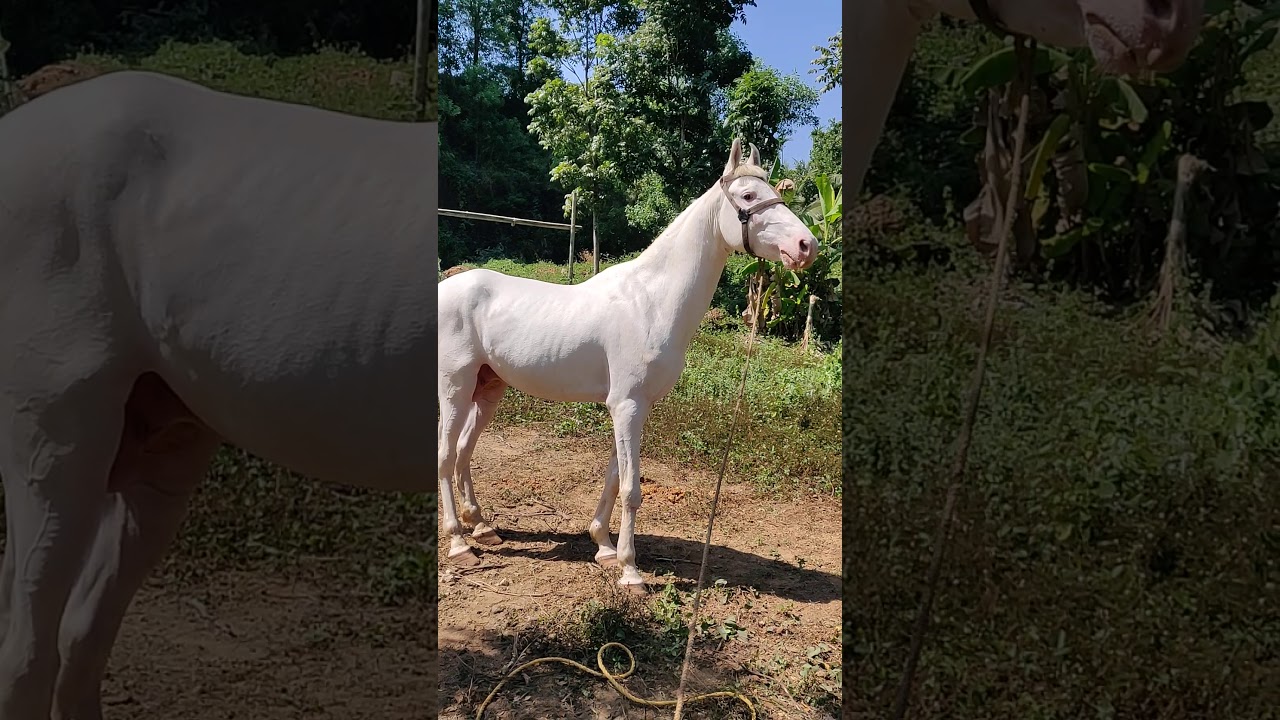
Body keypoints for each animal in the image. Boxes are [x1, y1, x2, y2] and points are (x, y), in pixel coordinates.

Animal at [436, 139, 817, 594]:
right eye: (747, 197)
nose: (807, 246)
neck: (650, 302)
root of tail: (445, 286)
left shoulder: (636, 407)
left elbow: (614, 476)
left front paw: (602, 545)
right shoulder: (627, 405)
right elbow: (632, 488)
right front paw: (630, 570)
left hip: (488, 389)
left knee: (463, 451)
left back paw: (482, 526)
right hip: (454, 389)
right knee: (445, 456)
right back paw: (460, 543)